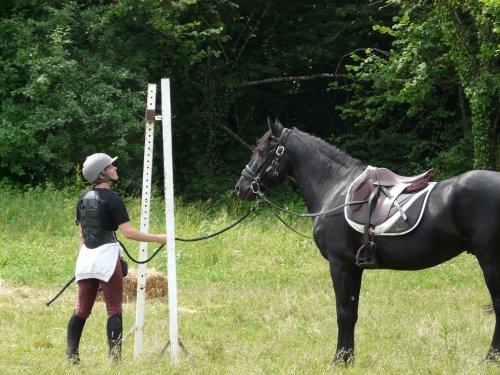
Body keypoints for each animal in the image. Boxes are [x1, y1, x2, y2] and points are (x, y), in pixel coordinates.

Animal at [234, 119, 500, 364]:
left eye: (261, 151)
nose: (241, 188)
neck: (336, 188)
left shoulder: (339, 263)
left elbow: (342, 312)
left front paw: (338, 360)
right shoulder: (355, 267)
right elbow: (352, 313)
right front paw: (348, 359)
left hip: (490, 262)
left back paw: (490, 357)